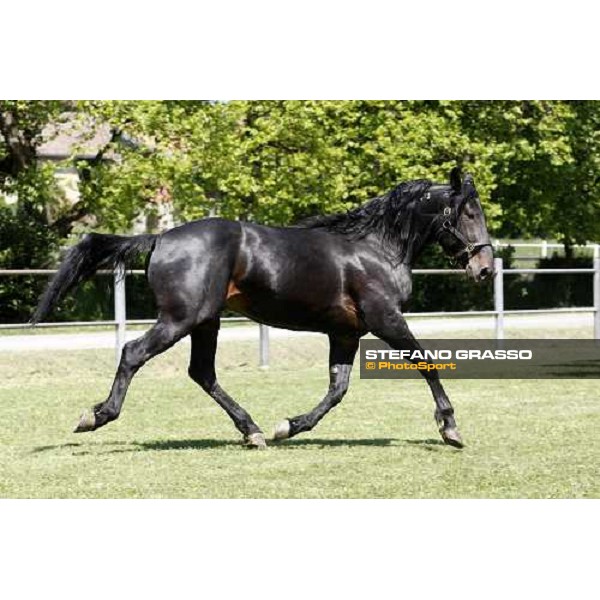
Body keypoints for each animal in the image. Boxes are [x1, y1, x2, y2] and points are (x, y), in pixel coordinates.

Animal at [31, 166, 492, 448]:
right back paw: (96, 416)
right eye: (468, 213)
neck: (376, 248)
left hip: (206, 321)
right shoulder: (386, 320)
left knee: (202, 373)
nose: (485, 268)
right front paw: (450, 428)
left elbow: (337, 389)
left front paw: (288, 427)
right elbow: (427, 363)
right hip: (180, 319)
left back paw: (252, 431)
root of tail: (161, 237)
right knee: (133, 353)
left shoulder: (345, 333)